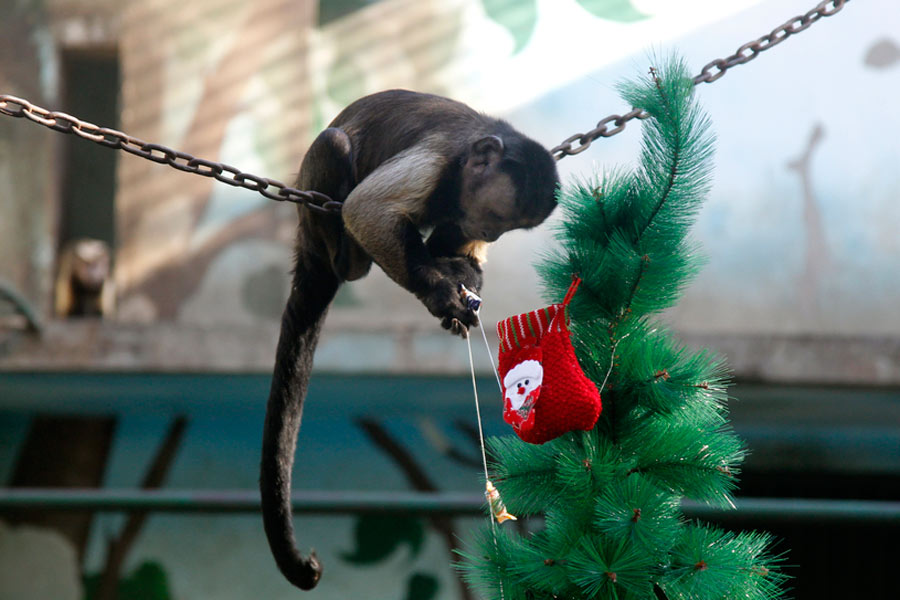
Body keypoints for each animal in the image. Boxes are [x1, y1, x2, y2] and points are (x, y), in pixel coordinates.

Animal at [261, 89, 559, 590]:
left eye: (507, 228)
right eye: (497, 218)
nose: (491, 234)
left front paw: (460, 276)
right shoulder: (436, 160)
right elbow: (366, 210)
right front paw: (438, 293)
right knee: (335, 148)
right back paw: (349, 260)